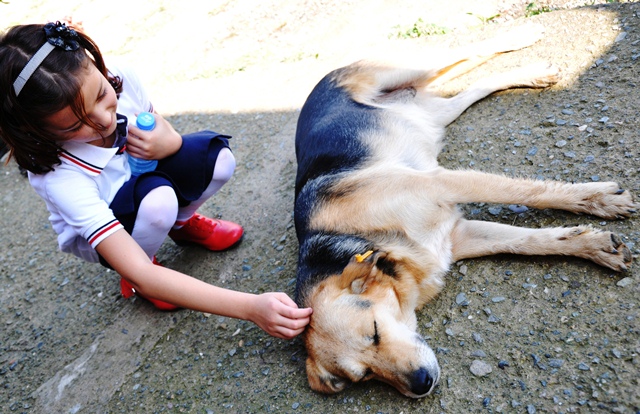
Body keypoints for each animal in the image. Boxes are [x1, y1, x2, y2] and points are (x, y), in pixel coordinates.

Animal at [292, 25, 636, 398]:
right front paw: (593, 246)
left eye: (374, 332)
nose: (421, 384)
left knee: (465, 51)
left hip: (407, 69)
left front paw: (599, 200)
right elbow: (530, 242)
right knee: (471, 83)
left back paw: (521, 38)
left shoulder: (443, 184)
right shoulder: (457, 237)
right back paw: (531, 73)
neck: (365, 238)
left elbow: (531, 192)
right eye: (365, 376)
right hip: (435, 113)